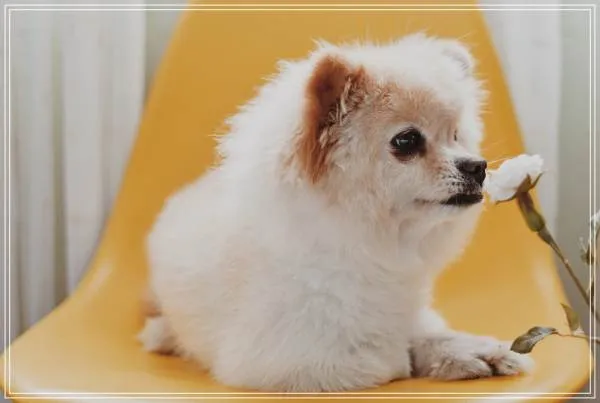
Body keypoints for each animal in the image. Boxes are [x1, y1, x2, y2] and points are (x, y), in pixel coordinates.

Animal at [139, 34, 532, 392]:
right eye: (407, 141)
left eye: (455, 136)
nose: (477, 166)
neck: (362, 244)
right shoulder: (284, 361)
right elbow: (386, 357)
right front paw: (407, 357)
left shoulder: (405, 310)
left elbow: (425, 333)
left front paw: (474, 350)